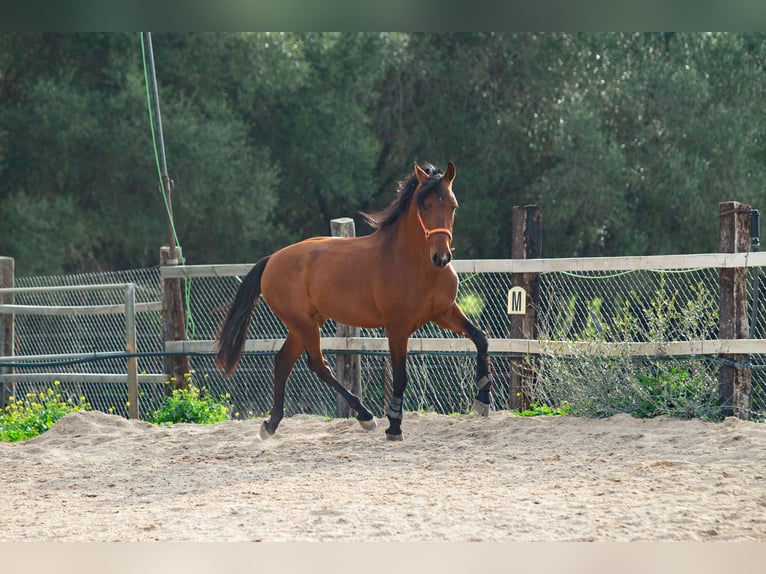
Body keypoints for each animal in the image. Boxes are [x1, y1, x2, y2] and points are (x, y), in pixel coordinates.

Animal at [216, 162, 492, 440]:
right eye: (424, 206)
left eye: (453, 205)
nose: (441, 257)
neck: (416, 265)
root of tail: (271, 259)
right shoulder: (397, 327)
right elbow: (400, 376)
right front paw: (394, 426)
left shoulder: (444, 313)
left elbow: (481, 338)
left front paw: (483, 399)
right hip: (303, 324)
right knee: (318, 364)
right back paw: (365, 416)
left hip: (305, 324)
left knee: (283, 362)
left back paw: (271, 424)